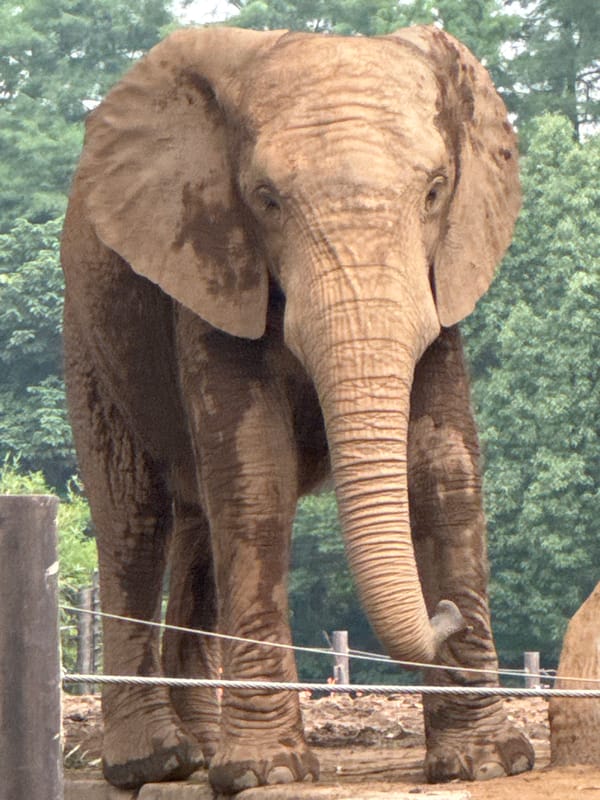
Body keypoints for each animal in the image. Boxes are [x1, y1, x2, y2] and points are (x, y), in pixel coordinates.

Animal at [61, 24, 535, 794]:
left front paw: (490, 762)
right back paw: (155, 761)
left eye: (436, 192)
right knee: (134, 519)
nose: (446, 614)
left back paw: (199, 751)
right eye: (265, 199)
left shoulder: (445, 276)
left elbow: (442, 467)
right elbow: (257, 474)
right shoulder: (211, 259)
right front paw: (266, 772)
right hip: (87, 334)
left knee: (196, 527)